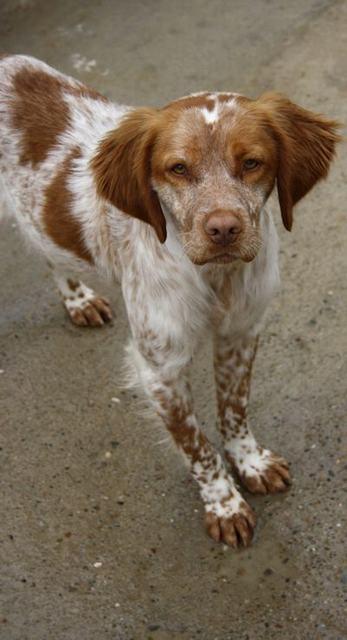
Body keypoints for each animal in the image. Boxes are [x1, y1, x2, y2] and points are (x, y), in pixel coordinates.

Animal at [0, 55, 340, 548]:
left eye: (252, 162)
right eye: (177, 168)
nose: (223, 229)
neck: (214, 278)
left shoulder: (241, 334)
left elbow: (234, 408)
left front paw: (250, 461)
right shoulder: (159, 369)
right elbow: (196, 445)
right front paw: (224, 503)